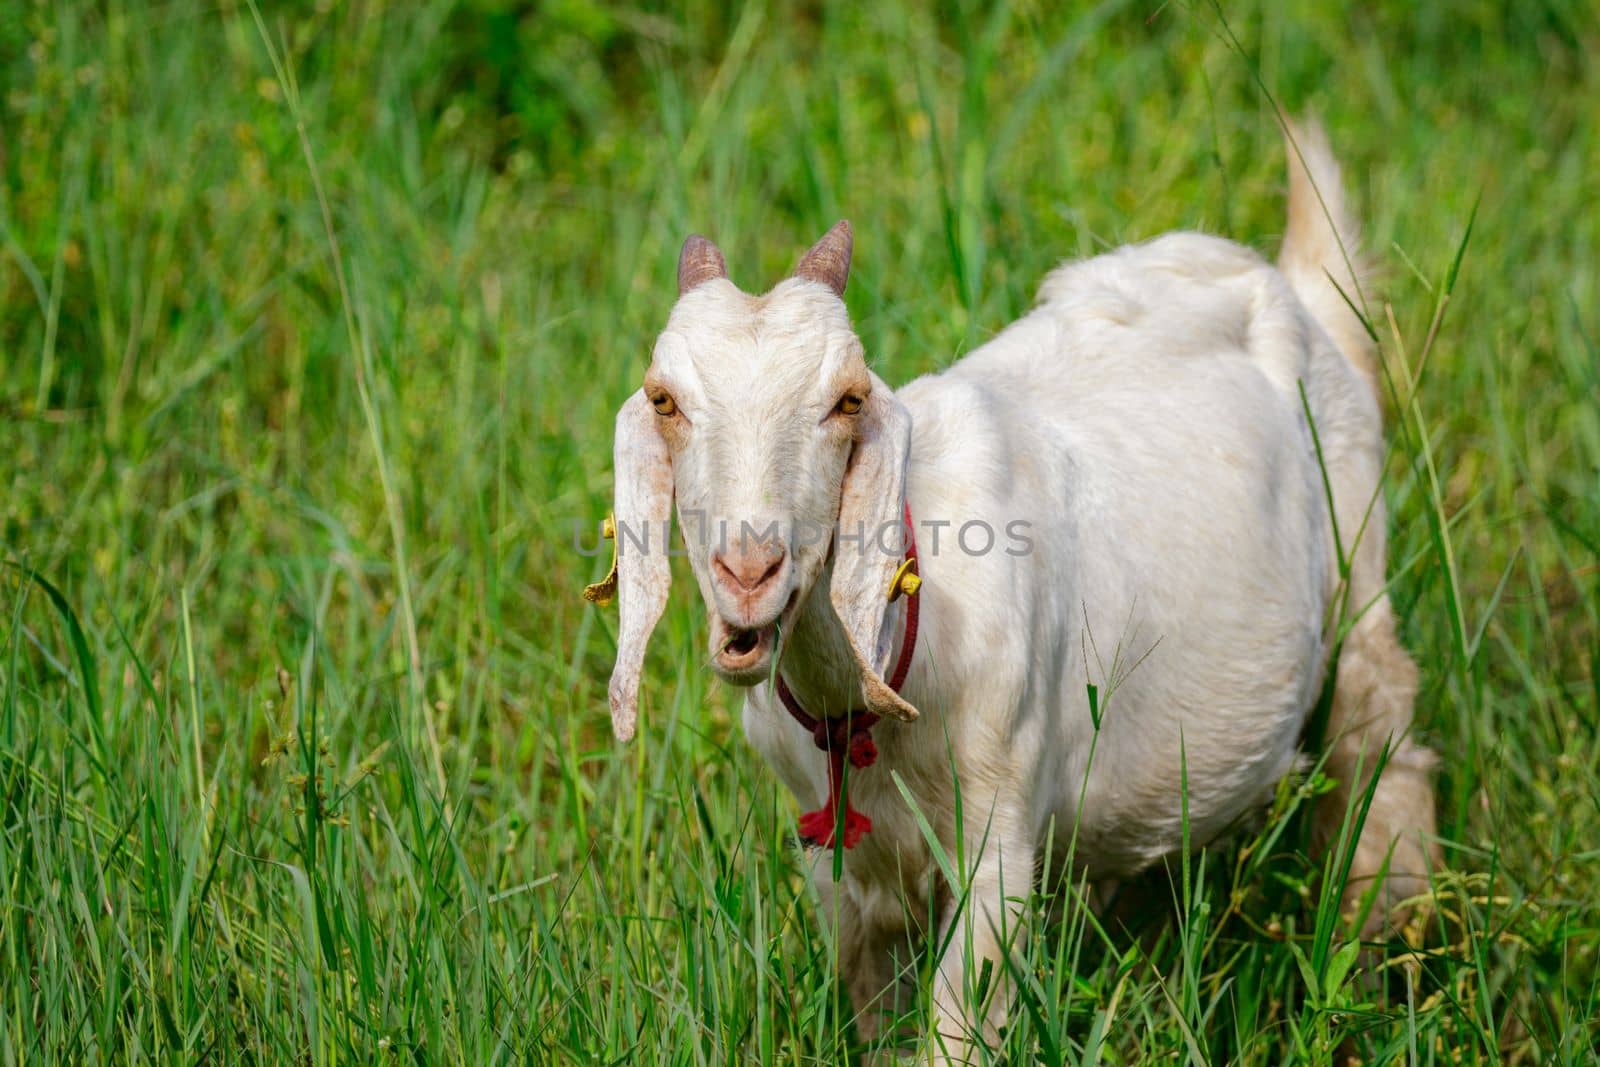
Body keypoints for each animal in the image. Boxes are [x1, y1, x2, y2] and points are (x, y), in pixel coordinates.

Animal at [592, 119, 1440, 1062]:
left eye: (847, 400)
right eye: (664, 400)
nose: (749, 571)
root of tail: (1293, 286)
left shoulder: (998, 840)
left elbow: (959, 1030)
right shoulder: (838, 861)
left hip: (1359, 543)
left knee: (1380, 731)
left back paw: (1378, 956)